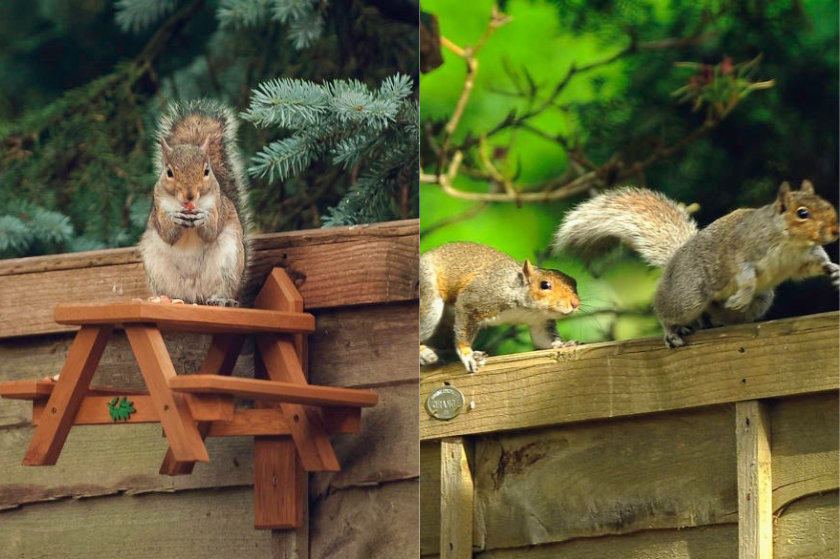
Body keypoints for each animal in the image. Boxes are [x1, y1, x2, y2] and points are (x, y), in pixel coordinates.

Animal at [137, 100, 249, 308]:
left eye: (206, 171)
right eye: (169, 172)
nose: (189, 195)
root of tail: (195, 296)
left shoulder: (217, 205)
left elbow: (212, 232)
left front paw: (203, 218)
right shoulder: (159, 207)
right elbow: (168, 235)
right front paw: (175, 218)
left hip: (228, 263)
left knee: (222, 288)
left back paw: (220, 300)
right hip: (156, 266)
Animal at [418, 243, 580, 374]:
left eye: (574, 283)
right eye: (545, 285)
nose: (576, 303)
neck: (528, 309)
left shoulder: (540, 321)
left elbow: (542, 339)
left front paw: (562, 344)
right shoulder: (474, 299)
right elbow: (464, 326)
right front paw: (467, 354)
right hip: (429, 298)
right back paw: (423, 353)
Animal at [556, 182, 836, 348]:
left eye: (828, 205)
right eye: (802, 213)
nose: (835, 231)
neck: (790, 243)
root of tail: (676, 259)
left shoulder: (803, 258)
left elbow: (814, 265)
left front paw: (834, 271)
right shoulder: (743, 250)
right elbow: (744, 275)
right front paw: (743, 293)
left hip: (759, 301)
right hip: (688, 295)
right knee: (667, 309)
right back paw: (672, 331)